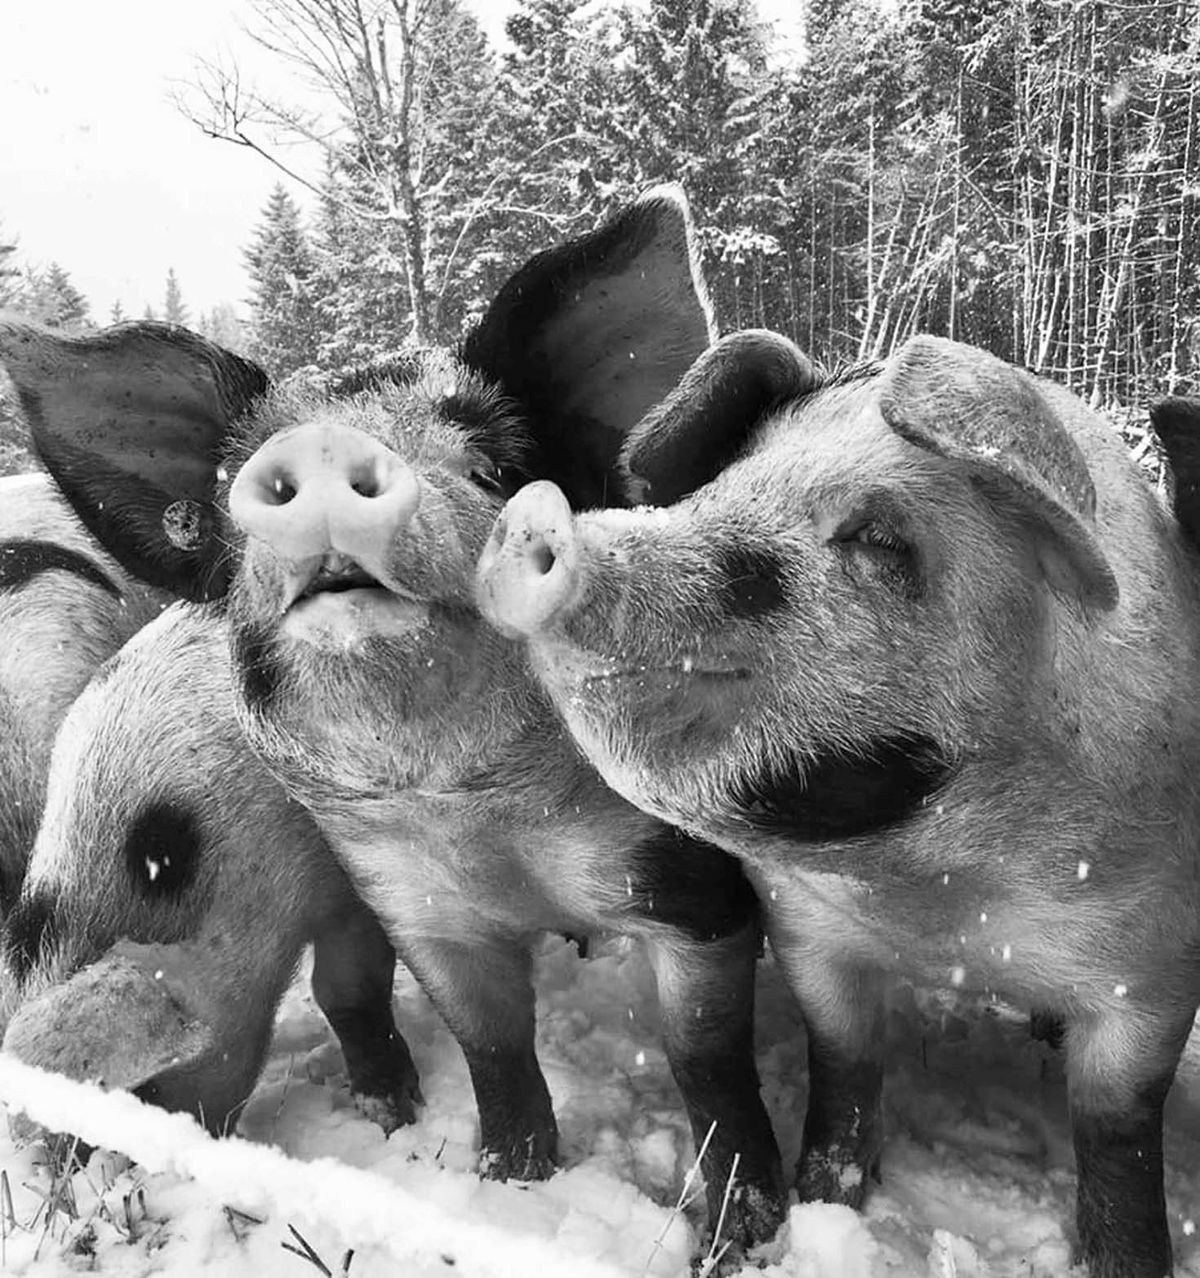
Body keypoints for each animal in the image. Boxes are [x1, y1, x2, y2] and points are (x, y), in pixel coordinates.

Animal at [477, 329, 1200, 1278]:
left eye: (881, 537)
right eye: (717, 492)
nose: (540, 516)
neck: (951, 911)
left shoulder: (1153, 974)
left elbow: (1119, 1134)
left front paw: (1126, 1261)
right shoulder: (808, 933)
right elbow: (845, 1068)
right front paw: (825, 1206)